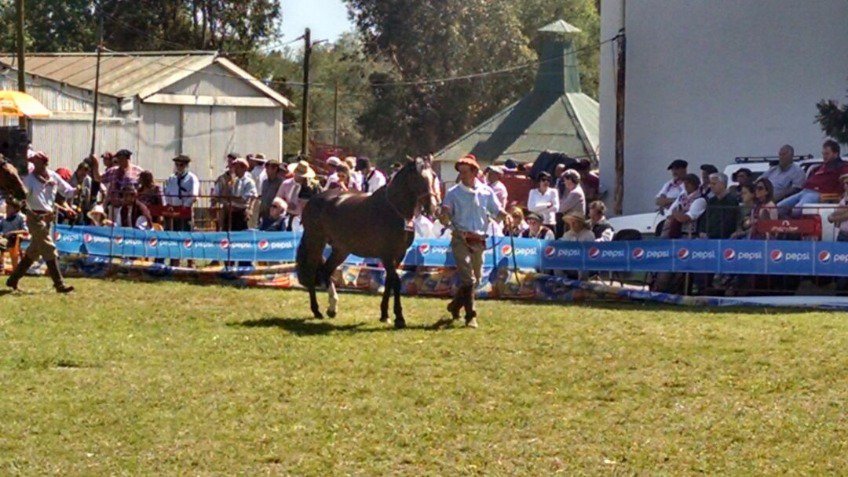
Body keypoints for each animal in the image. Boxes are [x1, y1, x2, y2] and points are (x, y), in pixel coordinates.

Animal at [296, 157, 439, 329]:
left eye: (433, 176)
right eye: (417, 178)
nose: (432, 207)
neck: (394, 211)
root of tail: (314, 199)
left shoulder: (399, 255)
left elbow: (389, 281)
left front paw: (385, 315)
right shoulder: (387, 255)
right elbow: (396, 282)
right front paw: (399, 318)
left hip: (341, 250)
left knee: (326, 270)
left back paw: (332, 308)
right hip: (316, 241)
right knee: (313, 271)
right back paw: (316, 310)